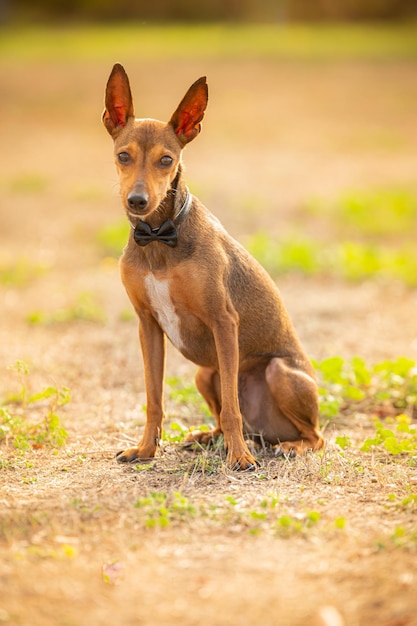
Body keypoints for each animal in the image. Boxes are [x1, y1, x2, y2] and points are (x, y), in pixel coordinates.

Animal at [102, 63, 324, 468]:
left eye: (166, 160)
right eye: (123, 156)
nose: (138, 200)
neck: (158, 237)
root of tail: (266, 431)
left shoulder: (224, 321)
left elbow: (232, 408)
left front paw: (240, 459)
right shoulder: (148, 326)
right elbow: (154, 399)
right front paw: (145, 450)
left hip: (277, 371)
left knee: (314, 435)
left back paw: (284, 446)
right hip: (205, 374)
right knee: (222, 415)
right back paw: (209, 437)